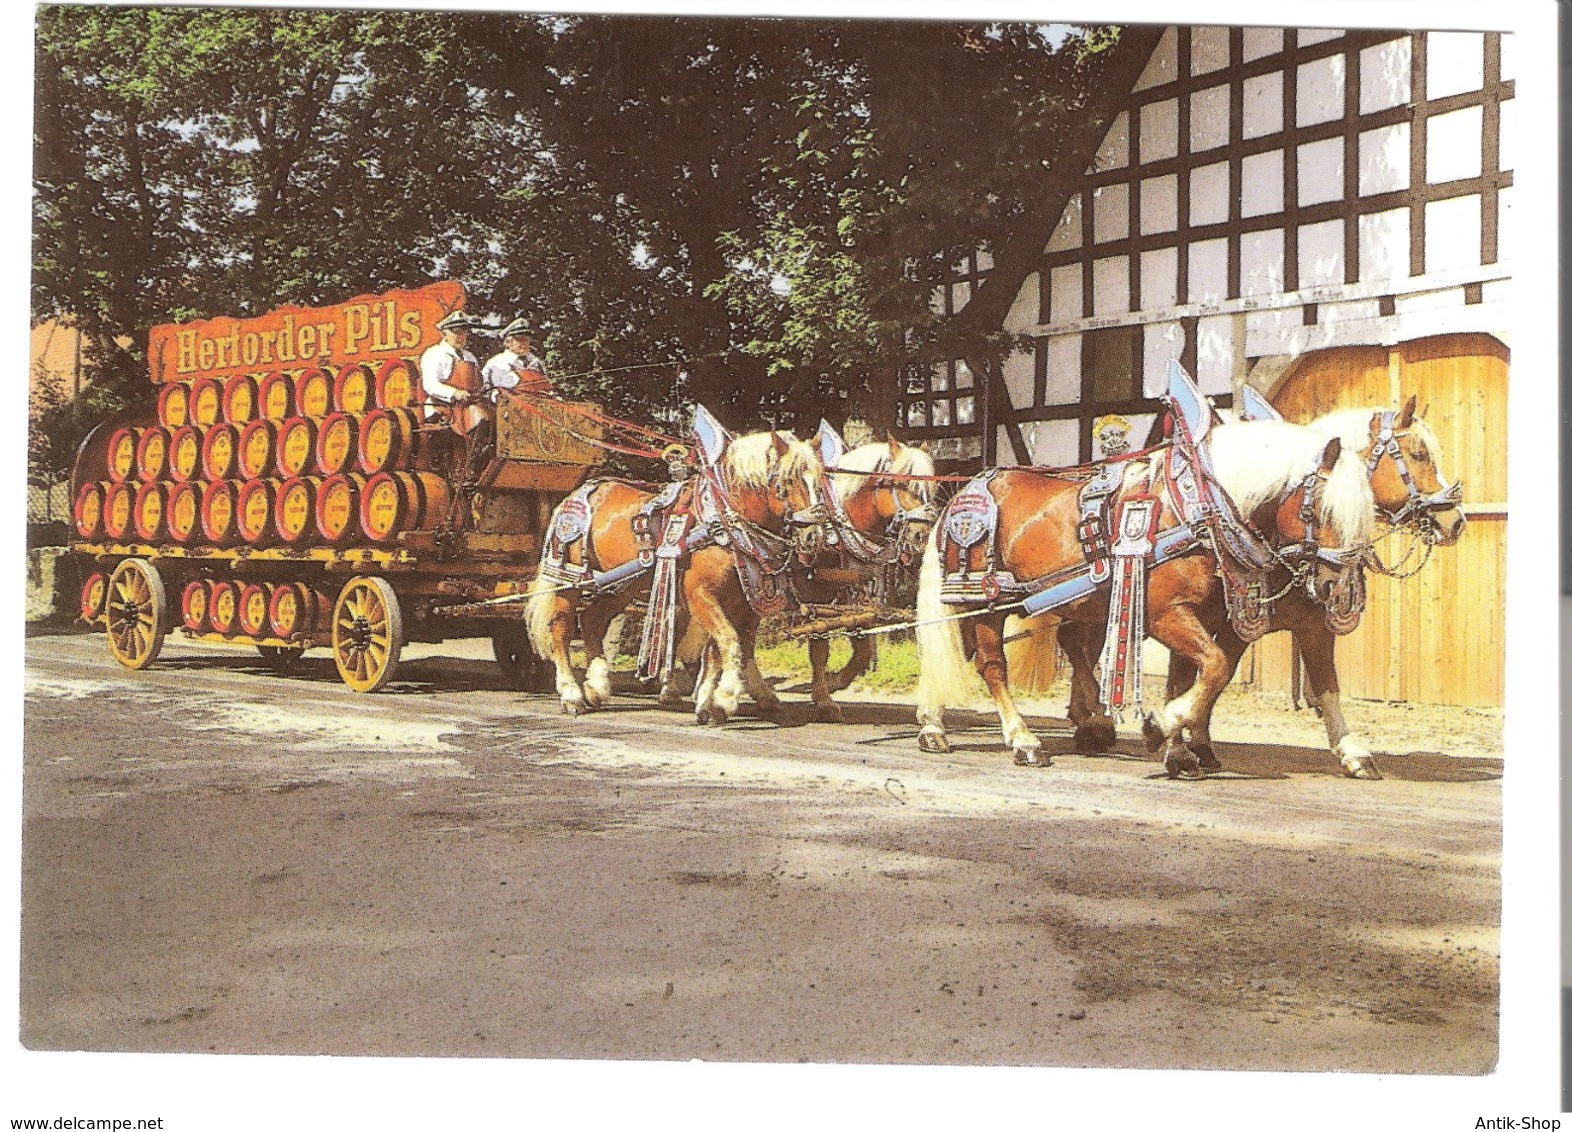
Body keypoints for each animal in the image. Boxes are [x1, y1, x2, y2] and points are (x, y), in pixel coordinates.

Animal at [525, 424, 830, 726]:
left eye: (819, 482)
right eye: (785, 481)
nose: (814, 537)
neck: (723, 526)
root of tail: (577, 494)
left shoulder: (745, 602)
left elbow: (726, 650)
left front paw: (709, 702)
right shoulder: (701, 596)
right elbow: (730, 644)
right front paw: (724, 699)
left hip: (620, 586)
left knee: (591, 621)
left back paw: (596, 688)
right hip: (569, 578)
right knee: (560, 628)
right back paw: (572, 695)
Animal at [792, 427, 936, 720]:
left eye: (930, 489)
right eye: (904, 485)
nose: (921, 537)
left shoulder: (859, 594)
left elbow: (863, 647)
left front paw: (833, 682)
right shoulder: (814, 592)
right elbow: (819, 646)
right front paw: (824, 699)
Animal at [918, 424, 1370, 779]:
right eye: (1319, 511)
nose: (1333, 588)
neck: (1197, 510)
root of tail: (964, 494)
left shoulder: (1210, 616)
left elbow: (1193, 680)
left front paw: (1179, 747)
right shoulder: (1167, 614)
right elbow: (1216, 668)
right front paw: (1160, 727)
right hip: (985, 601)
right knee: (991, 666)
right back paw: (1021, 739)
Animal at [1163, 393, 1465, 773]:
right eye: (1419, 454)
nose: (1456, 522)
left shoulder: (1310, 624)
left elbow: (1323, 682)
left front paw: (1352, 750)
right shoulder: (1233, 622)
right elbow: (1208, 673)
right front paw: (1179, 737)